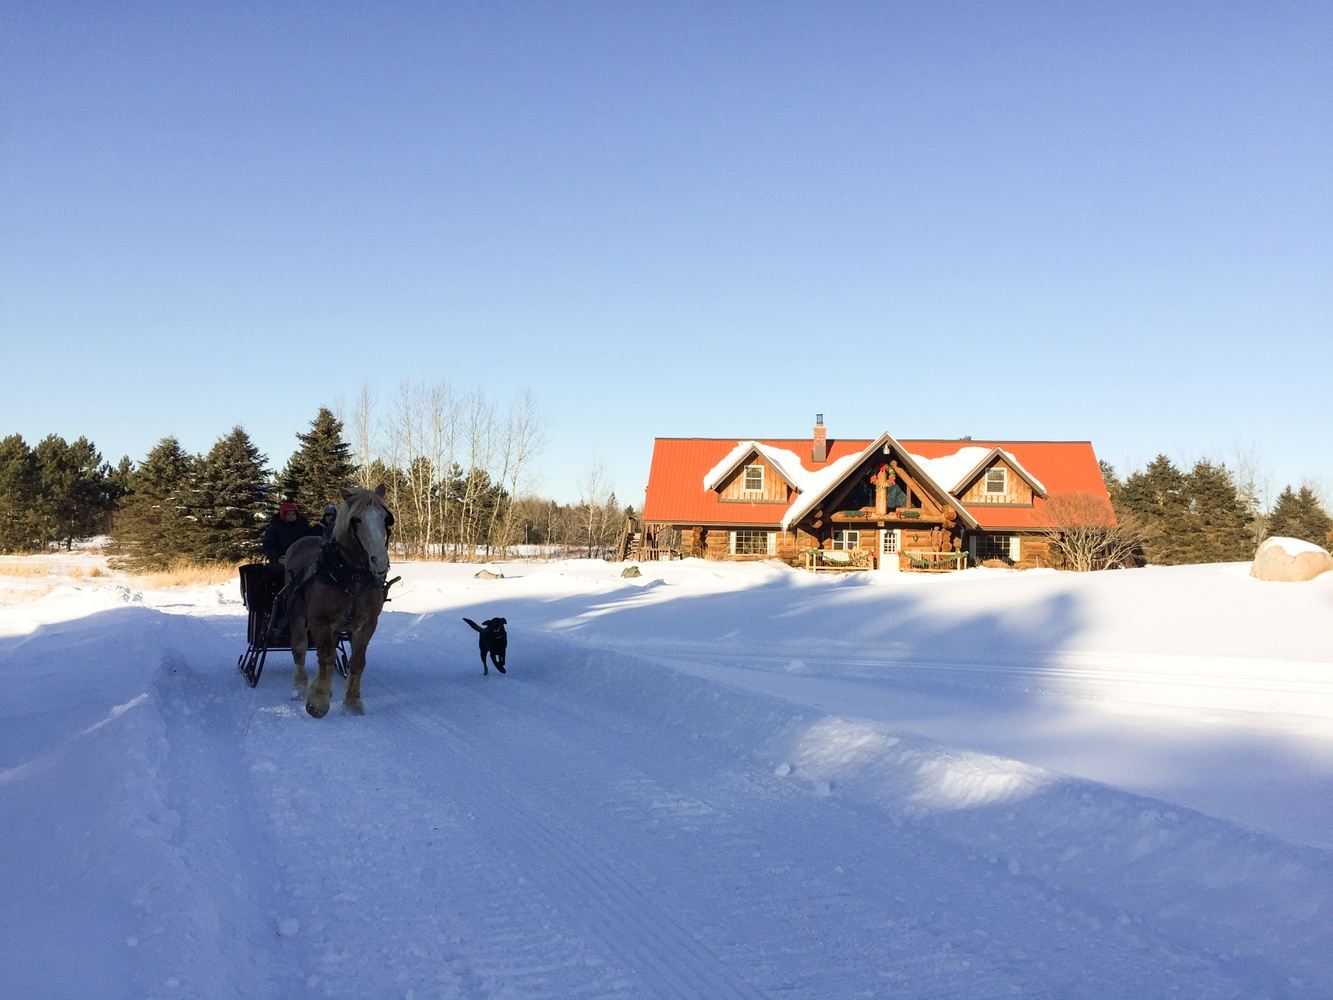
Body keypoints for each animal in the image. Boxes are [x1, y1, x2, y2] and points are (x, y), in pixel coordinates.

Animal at [283, 488, 391, 714]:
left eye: (385, 518)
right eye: (356, 520)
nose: (379, 561)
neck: (352, 576)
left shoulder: (368, 623)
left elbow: (357, 662)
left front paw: (352, 702)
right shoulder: (320, 621)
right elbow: (325, 656)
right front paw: (318, 701)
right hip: (296, 611)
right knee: (299, 647)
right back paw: (299, 687)